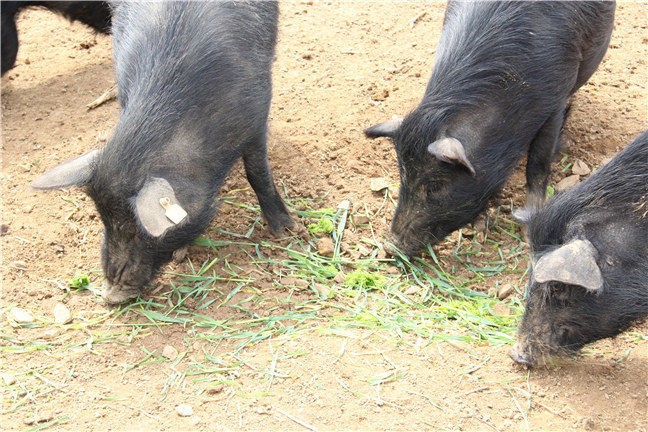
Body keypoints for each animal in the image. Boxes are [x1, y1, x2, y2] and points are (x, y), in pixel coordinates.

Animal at [30, 0, 294, 304]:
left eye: (138, 230)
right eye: (103, 219)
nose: (111, 295)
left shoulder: (257, 113)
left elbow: (258, 173)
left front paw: (285, 231)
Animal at [368, 0, 616, 256]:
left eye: (435, 186)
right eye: (402, 175)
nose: (390, 246)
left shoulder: (555, 101)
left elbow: (538, 166)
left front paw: (526, 234)